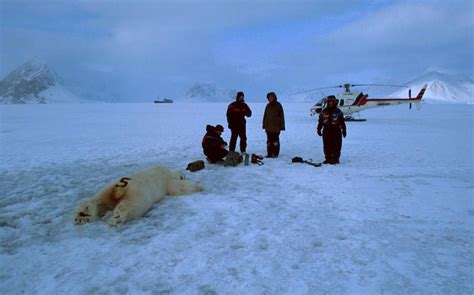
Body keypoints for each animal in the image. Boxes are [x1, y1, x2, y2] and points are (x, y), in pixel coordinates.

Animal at [73, 166, 203, 227]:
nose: (184, 174)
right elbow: (179, 187)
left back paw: (83, 215)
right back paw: (115, 218)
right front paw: (199, 186)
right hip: (138, 195)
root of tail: (122, 188)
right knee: (131, 206)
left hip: (111, 187)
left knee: (101, 200)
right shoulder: (167, 179)